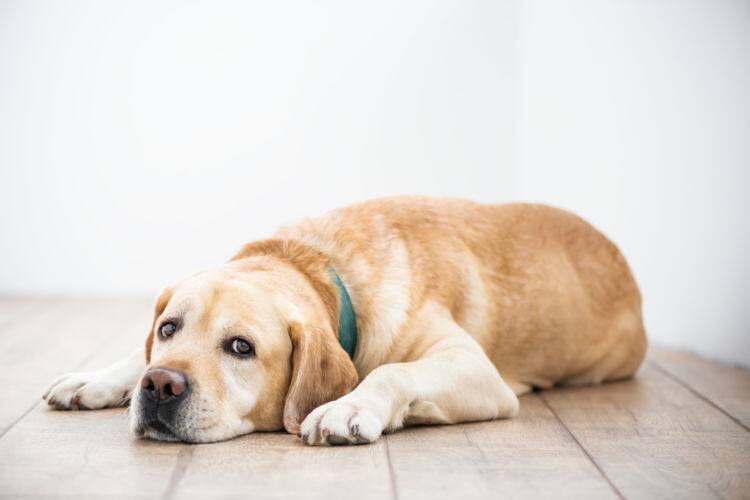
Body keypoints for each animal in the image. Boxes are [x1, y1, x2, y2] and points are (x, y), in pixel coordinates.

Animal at [42, 197, 648, 444]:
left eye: (241, 347)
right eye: (170, 328)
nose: (160, 387)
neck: (320, 264)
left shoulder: (477, 370)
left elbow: (393, 371)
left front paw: (351, 406)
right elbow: (134, 352)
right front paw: (97, 377)